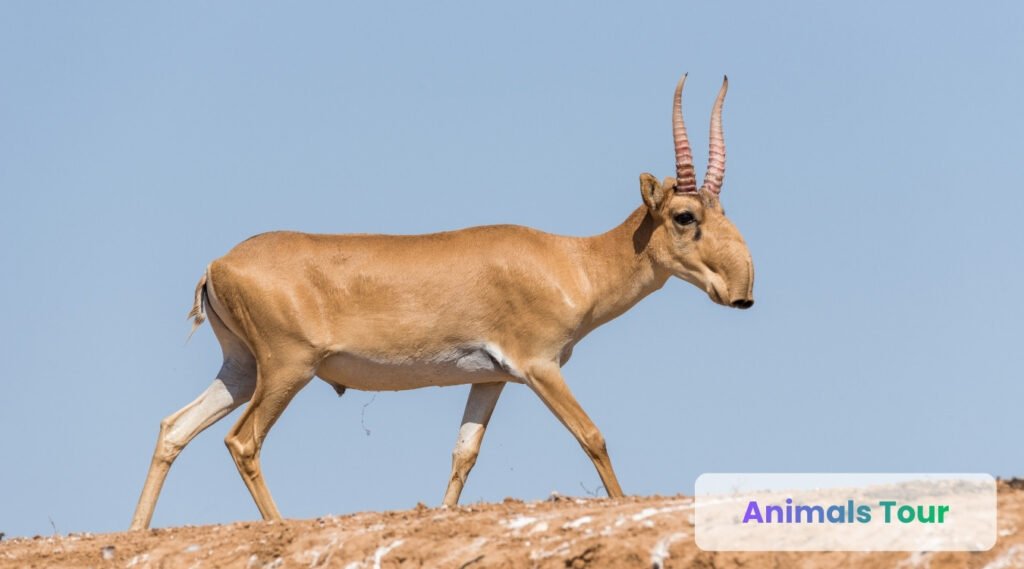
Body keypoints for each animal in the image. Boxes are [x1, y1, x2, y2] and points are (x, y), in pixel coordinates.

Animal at [130, 74, 754, 530]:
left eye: (722, 212)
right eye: (685, 216)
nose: (742, 292)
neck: (573, 261)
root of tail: (217, 264)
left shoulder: (490, 379)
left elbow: (463, 455)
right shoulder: (540, 368)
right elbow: (593, 435)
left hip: (240, 370)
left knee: (174, 428)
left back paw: (136, 531)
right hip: (286, 371)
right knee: (242, 441)